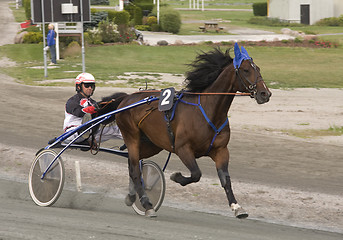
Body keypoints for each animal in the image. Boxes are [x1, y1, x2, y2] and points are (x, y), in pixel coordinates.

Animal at [98, 43, 272, 218]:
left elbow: (225, 179)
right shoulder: (183, 148)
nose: (265, 93)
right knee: (134, 168)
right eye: (245, 70)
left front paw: (236, 207)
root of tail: (126, 98)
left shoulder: (221, 150)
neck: (209, 111)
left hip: (151, 143)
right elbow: (196, 174)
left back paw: (132, 196)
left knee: (133, 164)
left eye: (258, 68)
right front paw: (176, 176)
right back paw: (147, 204)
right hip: (131, 136)